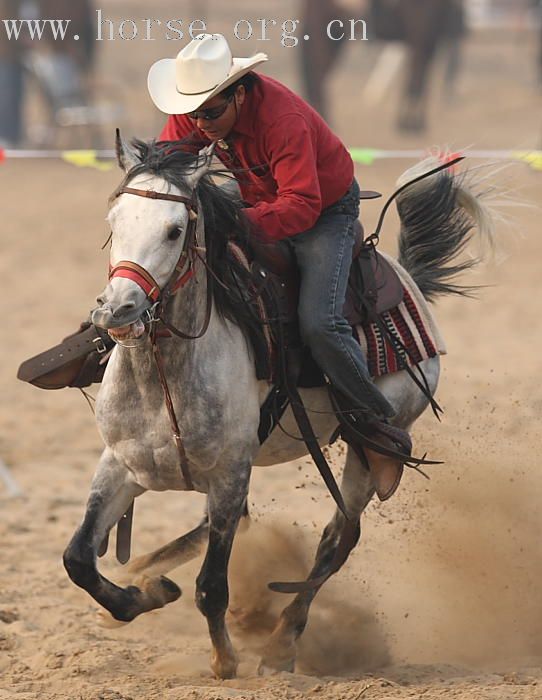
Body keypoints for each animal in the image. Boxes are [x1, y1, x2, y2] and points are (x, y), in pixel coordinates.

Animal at [62, 135, 498, 680]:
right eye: (114, 219)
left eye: (174, 229)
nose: (117, 308)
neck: (164, 376)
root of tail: (409, 285)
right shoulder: (121, 467)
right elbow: (78, 558)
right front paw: (142, 597)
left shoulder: (230, 475)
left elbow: (212, 586)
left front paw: (225, 659)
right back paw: (150, 575)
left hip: (369, 448)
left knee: (338, 538)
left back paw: (281, 642)